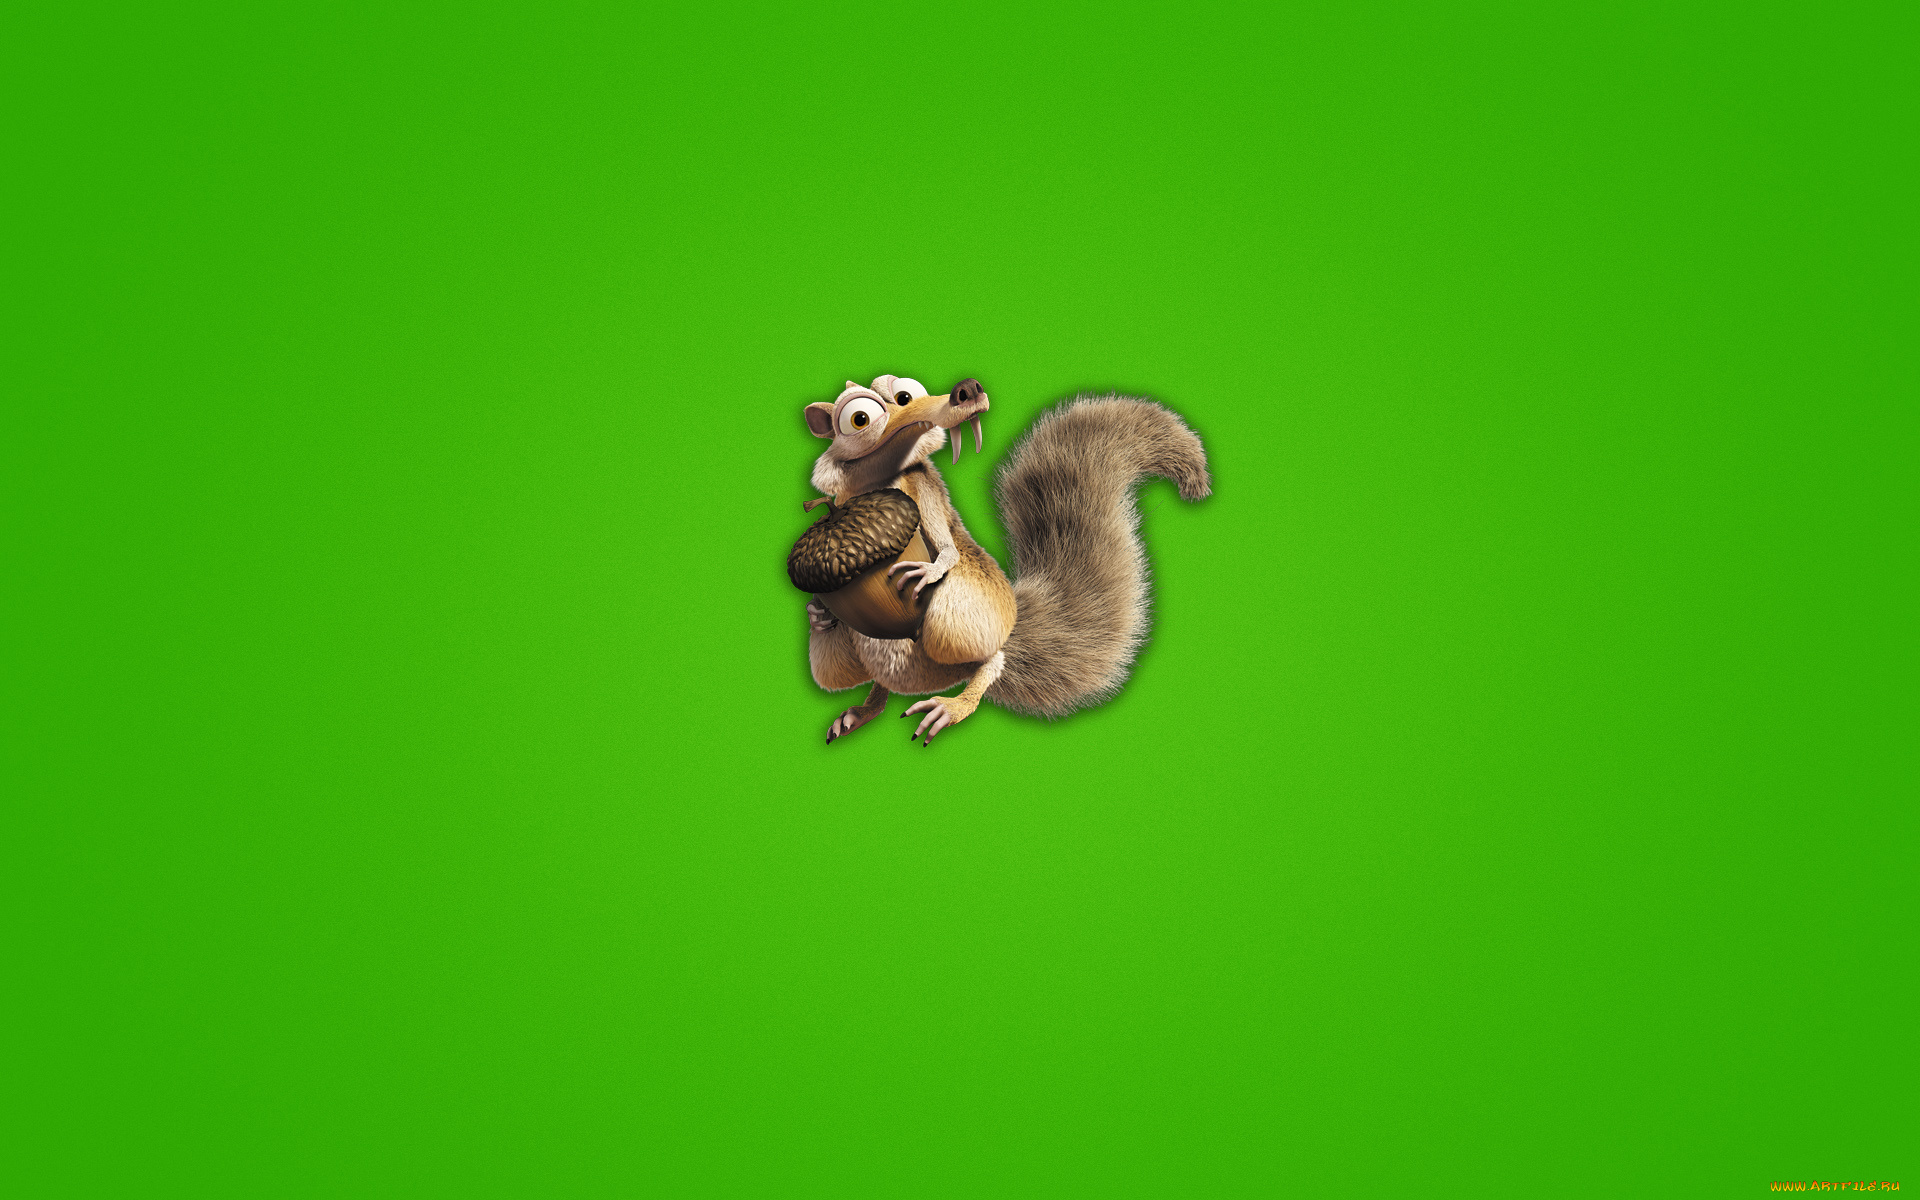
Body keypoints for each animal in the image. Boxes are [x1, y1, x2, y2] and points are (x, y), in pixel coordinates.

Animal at [801, 374, 1211, 745]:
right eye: (859, 417)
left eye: (908, 393)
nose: (965, 392)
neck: (877, 480)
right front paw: (818, 612)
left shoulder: (922, 487)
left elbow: (946, 545)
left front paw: (933, 567)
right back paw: (861, 704)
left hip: (964, 617)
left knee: (988, 658)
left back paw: (954, 705)